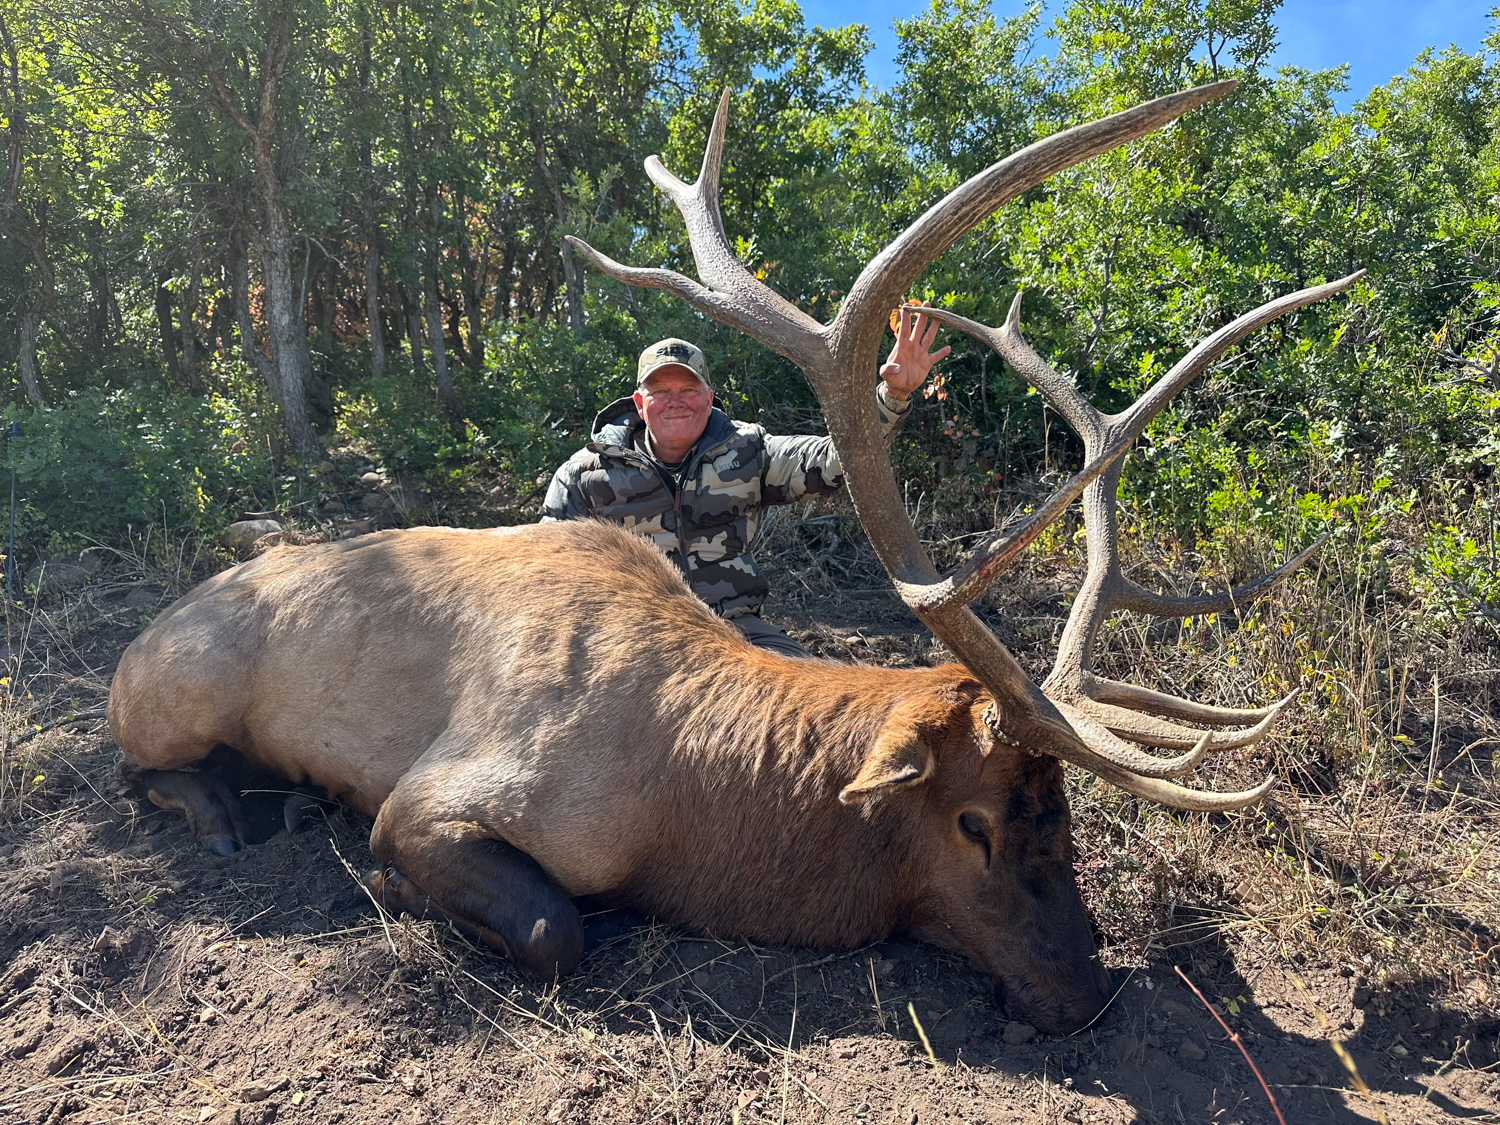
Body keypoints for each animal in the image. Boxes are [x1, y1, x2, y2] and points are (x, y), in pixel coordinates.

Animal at [108, 79, 1360, 1035]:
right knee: (136, 764)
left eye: (1069, 817)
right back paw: (228, 808)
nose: (1084, 991)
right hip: (177, 689)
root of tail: (149, 632)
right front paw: (390, 885)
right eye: (977, 823)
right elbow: (555, 924)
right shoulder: (433, 797)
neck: (689, 808)